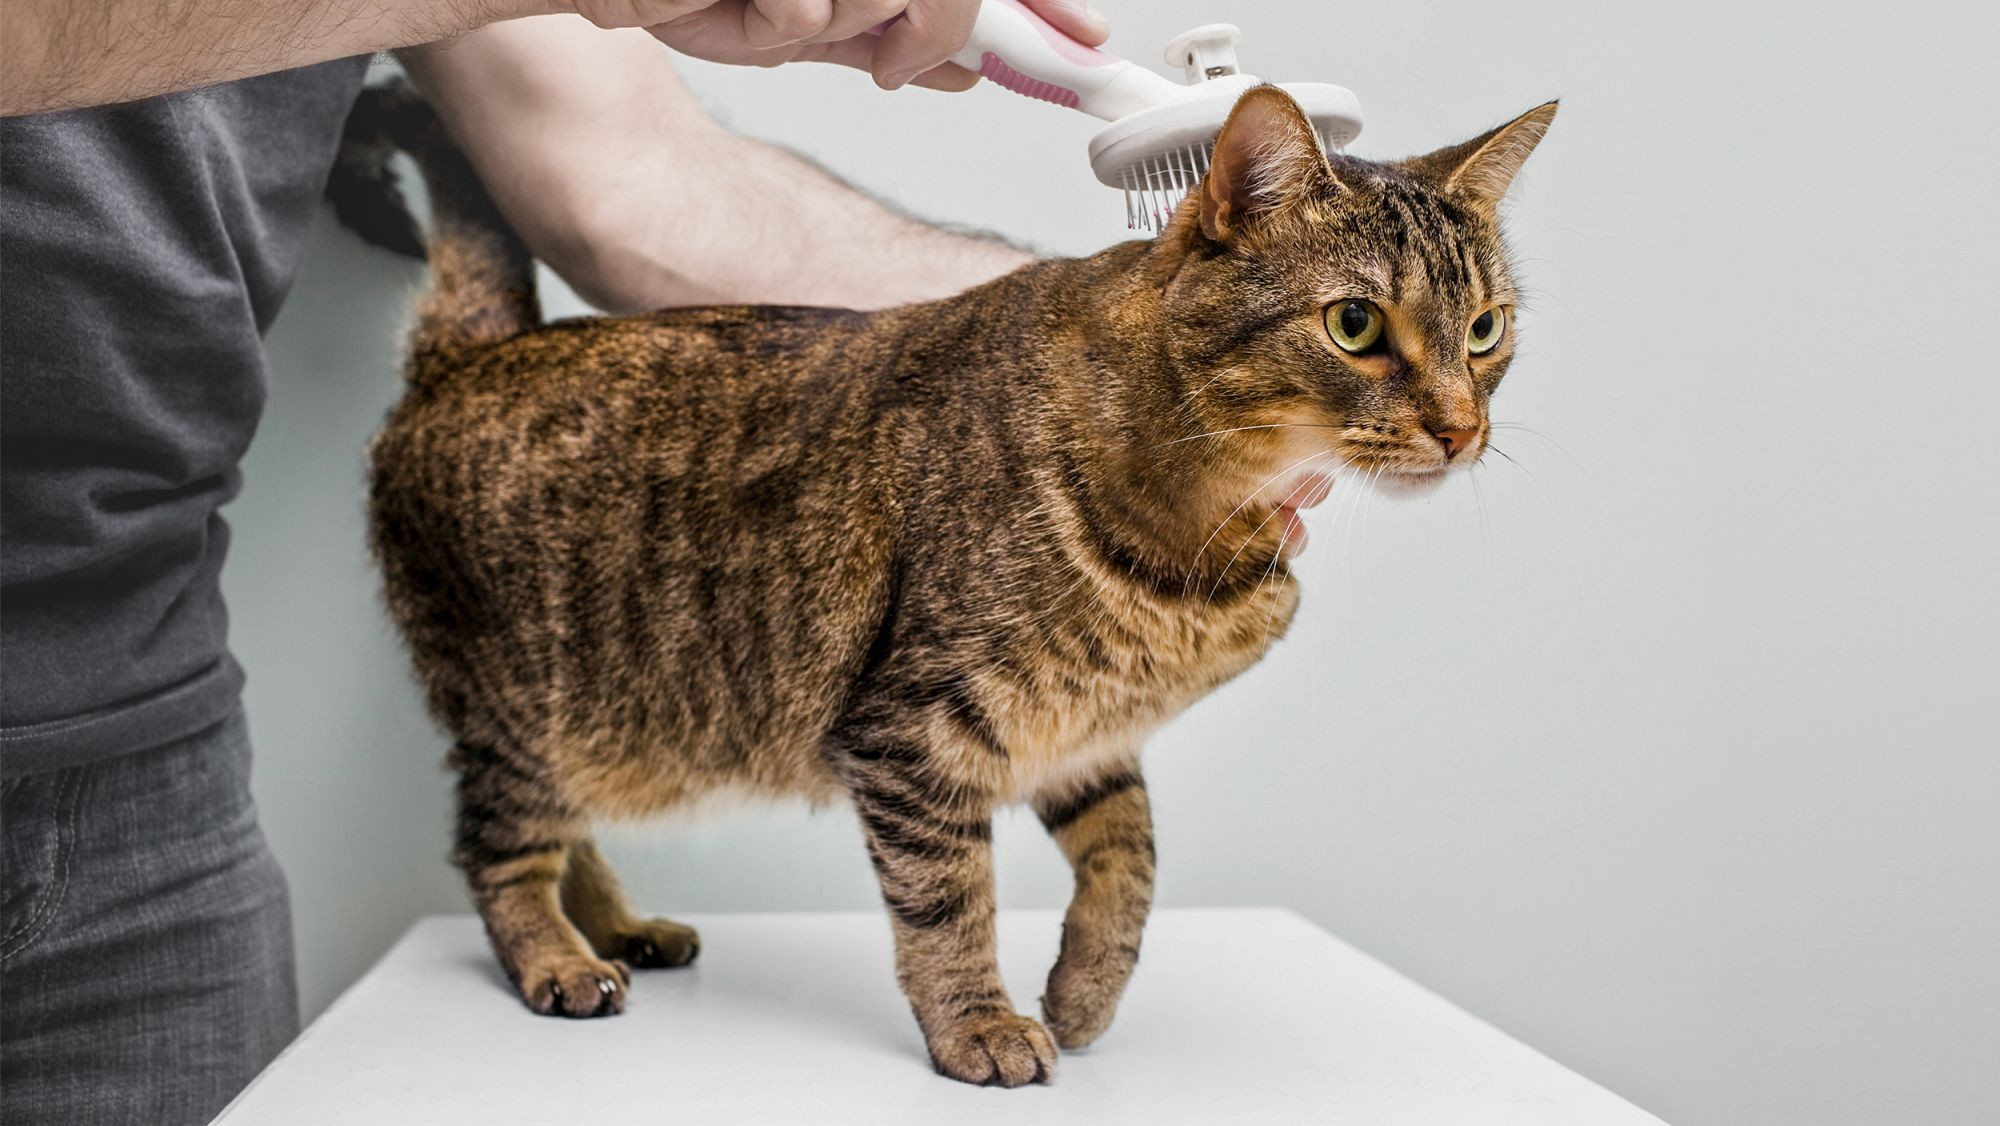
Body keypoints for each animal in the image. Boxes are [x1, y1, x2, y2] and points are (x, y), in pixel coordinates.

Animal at [356, 83, 1544, 1088]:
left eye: (1486, 331)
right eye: (1355, 325)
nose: (1462, 428)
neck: (1199, 528)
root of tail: (465, 355)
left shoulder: (1083, 737)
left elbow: (1132, 868)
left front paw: (1083, 993)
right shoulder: (913, 731)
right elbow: (947, 902)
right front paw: (978, 1024)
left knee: (570, 835)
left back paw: (619, 927)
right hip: (527, 708)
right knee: (496, 848)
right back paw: (556, 959)